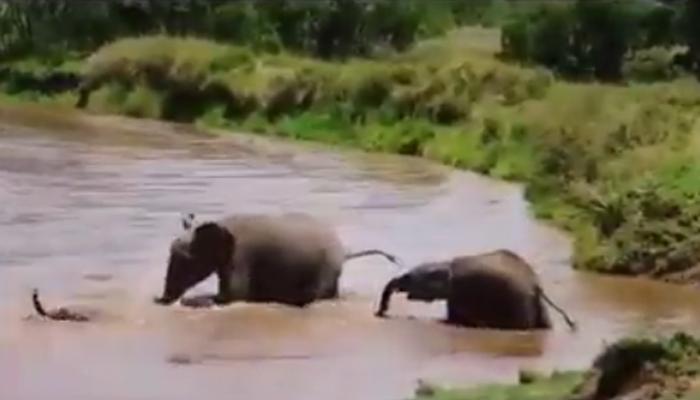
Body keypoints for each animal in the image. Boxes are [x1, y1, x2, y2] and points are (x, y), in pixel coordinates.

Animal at [155, 214, 402, 308]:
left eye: (186, 261)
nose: (159, 300)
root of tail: (345, 251)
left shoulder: (241, 257)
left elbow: (233, 296)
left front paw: (192, 301)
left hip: (326, 269)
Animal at [374, 250, 576, 332]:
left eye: (408, 277)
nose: (380, 312)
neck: (445, 265)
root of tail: (536, 284)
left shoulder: (461, 292)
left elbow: (453, 318)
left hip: (518, 302)